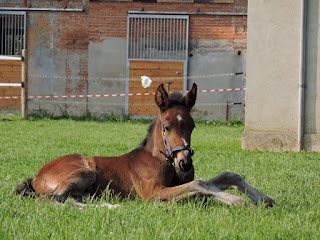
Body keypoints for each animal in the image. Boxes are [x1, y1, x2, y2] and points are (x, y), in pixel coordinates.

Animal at [16, 83, 274, 207]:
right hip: (86, 172)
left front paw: (264, 199)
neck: (161, 160)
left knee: (70, 200)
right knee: (51, 200)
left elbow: (225, 177)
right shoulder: (152, 193)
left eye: (192, 126)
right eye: (166, 126)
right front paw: (239, 202)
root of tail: (36, 177)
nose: (185, 163)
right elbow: (200, 184)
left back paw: (111, 205)